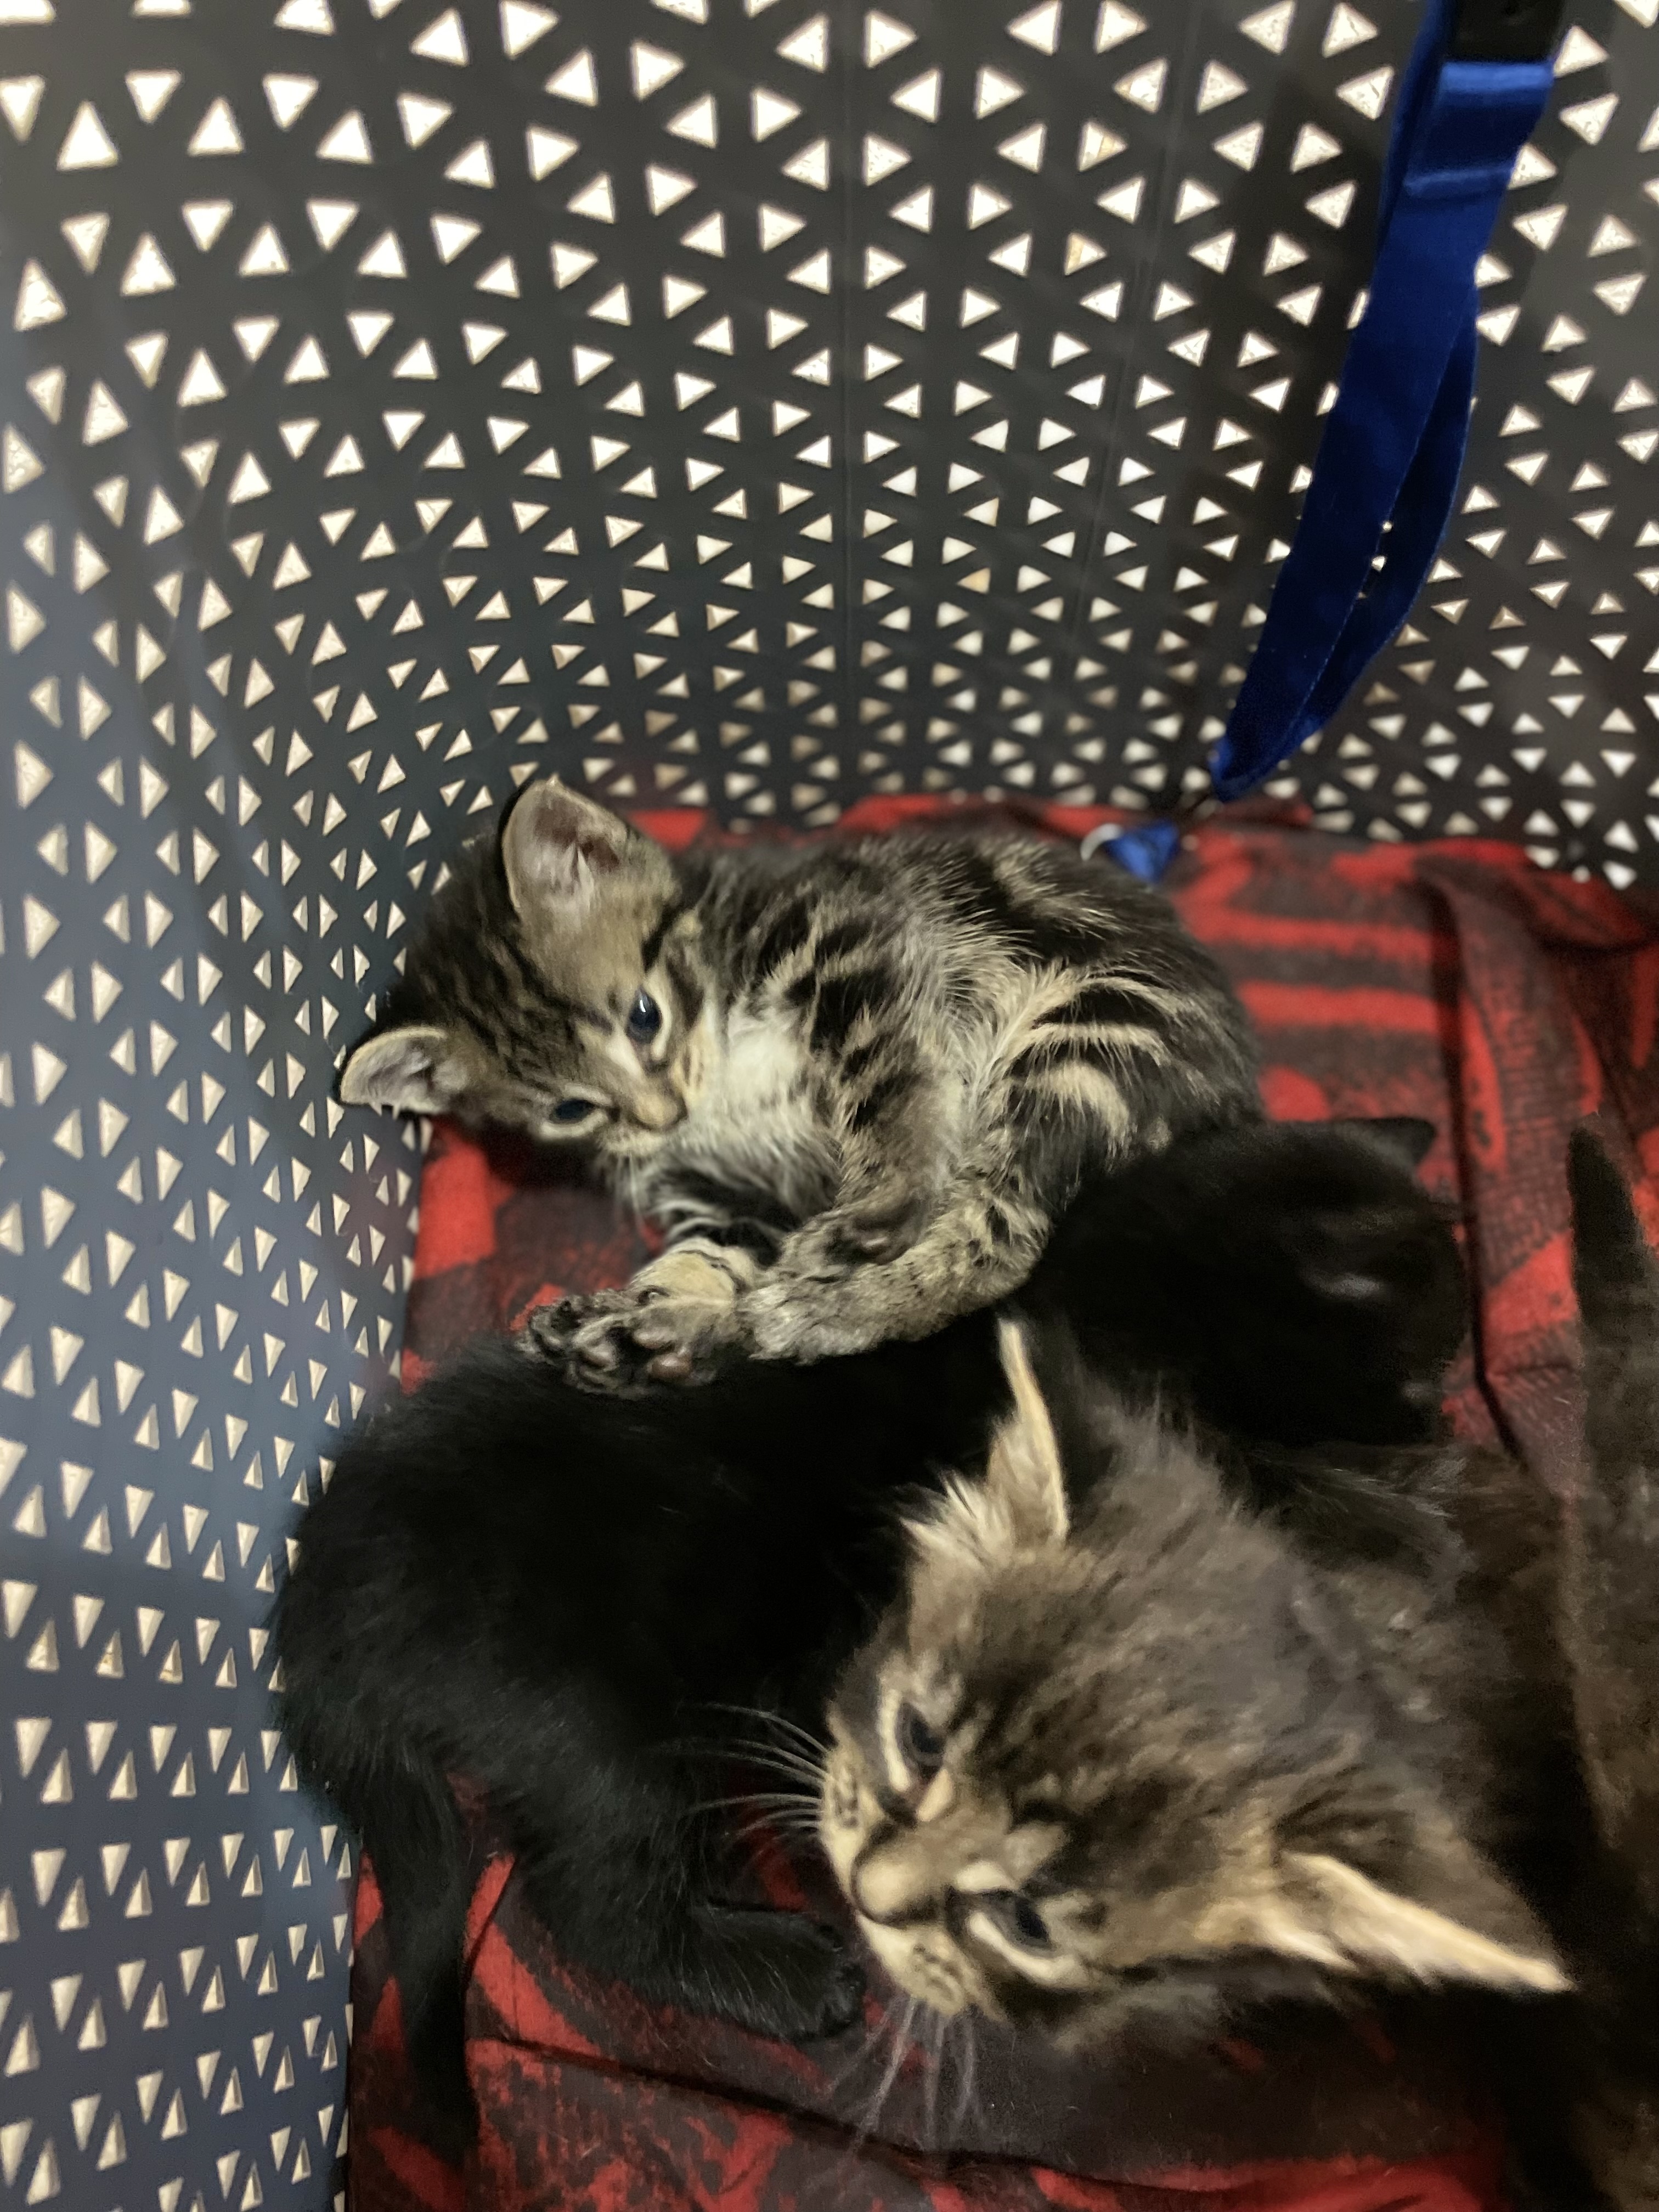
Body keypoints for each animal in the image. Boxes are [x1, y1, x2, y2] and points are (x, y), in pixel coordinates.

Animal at [273, 1115, 1457, 2151]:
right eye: (1421, 1373)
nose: (1449, 1426)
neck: (1101, 1301)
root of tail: (324, 1587)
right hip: (602, 1732)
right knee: (598, 1906)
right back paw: (784, 1973)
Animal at [335, 776, 1258, 1382]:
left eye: (644, 1017)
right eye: (569, 1108)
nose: (662, 1113)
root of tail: (1241, 1100)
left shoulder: (855, 938)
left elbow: (893, 1090)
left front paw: (883, 1201)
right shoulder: (720, 1195)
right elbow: (708, 1251)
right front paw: (652, 1299)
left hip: (1095, 1033)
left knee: (995, 1243)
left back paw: (815, 1312)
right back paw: (664, 1333)